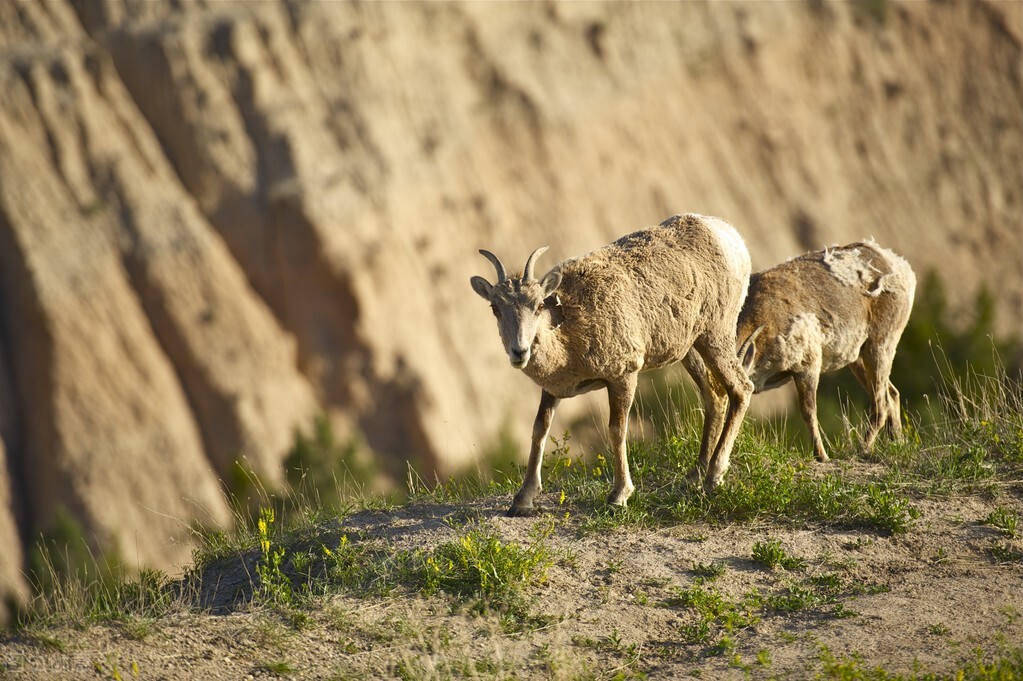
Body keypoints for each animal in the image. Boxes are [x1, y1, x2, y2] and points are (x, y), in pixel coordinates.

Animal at [468, 213, 752, 515]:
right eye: (495, 309)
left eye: (539, 306)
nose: (519, 352)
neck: (569, 336)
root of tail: (729, 235)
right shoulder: (553, 390)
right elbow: (539, 430)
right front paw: (522, 500)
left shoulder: (623, 375)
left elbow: (617, 430)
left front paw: (619, 496)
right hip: (691, 348)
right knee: (714, 397)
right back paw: (693, 477)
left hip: (716, 335)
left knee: (741, 388)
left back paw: (714, 477)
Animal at [736, 240, 920, 462]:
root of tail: (903, 268)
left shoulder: (808, 368)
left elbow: (808, 412)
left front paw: (822, 456)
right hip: (858, 360)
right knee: (892, 394)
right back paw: (898, 443)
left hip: (880, 347)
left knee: (881, 405)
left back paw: (862, 450)